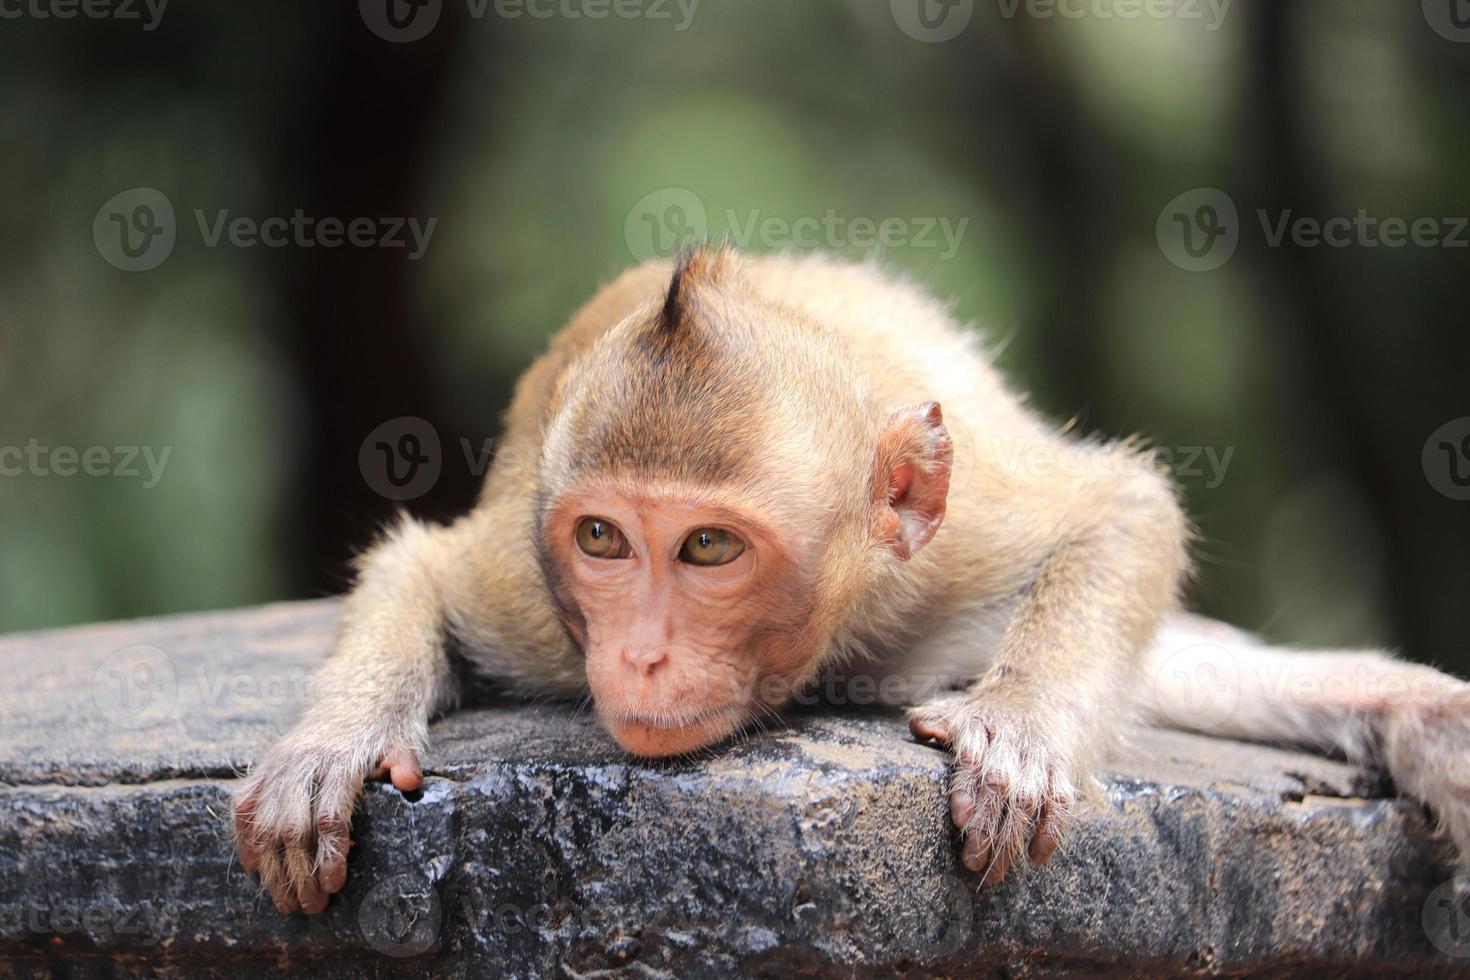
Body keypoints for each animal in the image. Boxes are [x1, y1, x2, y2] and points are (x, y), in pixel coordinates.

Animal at [235, 243, 1470, 910]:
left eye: (708, 548)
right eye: (602, 540)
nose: (638, 652)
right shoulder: (537, 600)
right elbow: (420, 566)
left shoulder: (949, 553)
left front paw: (1021, 731)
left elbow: (1121, 511)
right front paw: (326, 751)